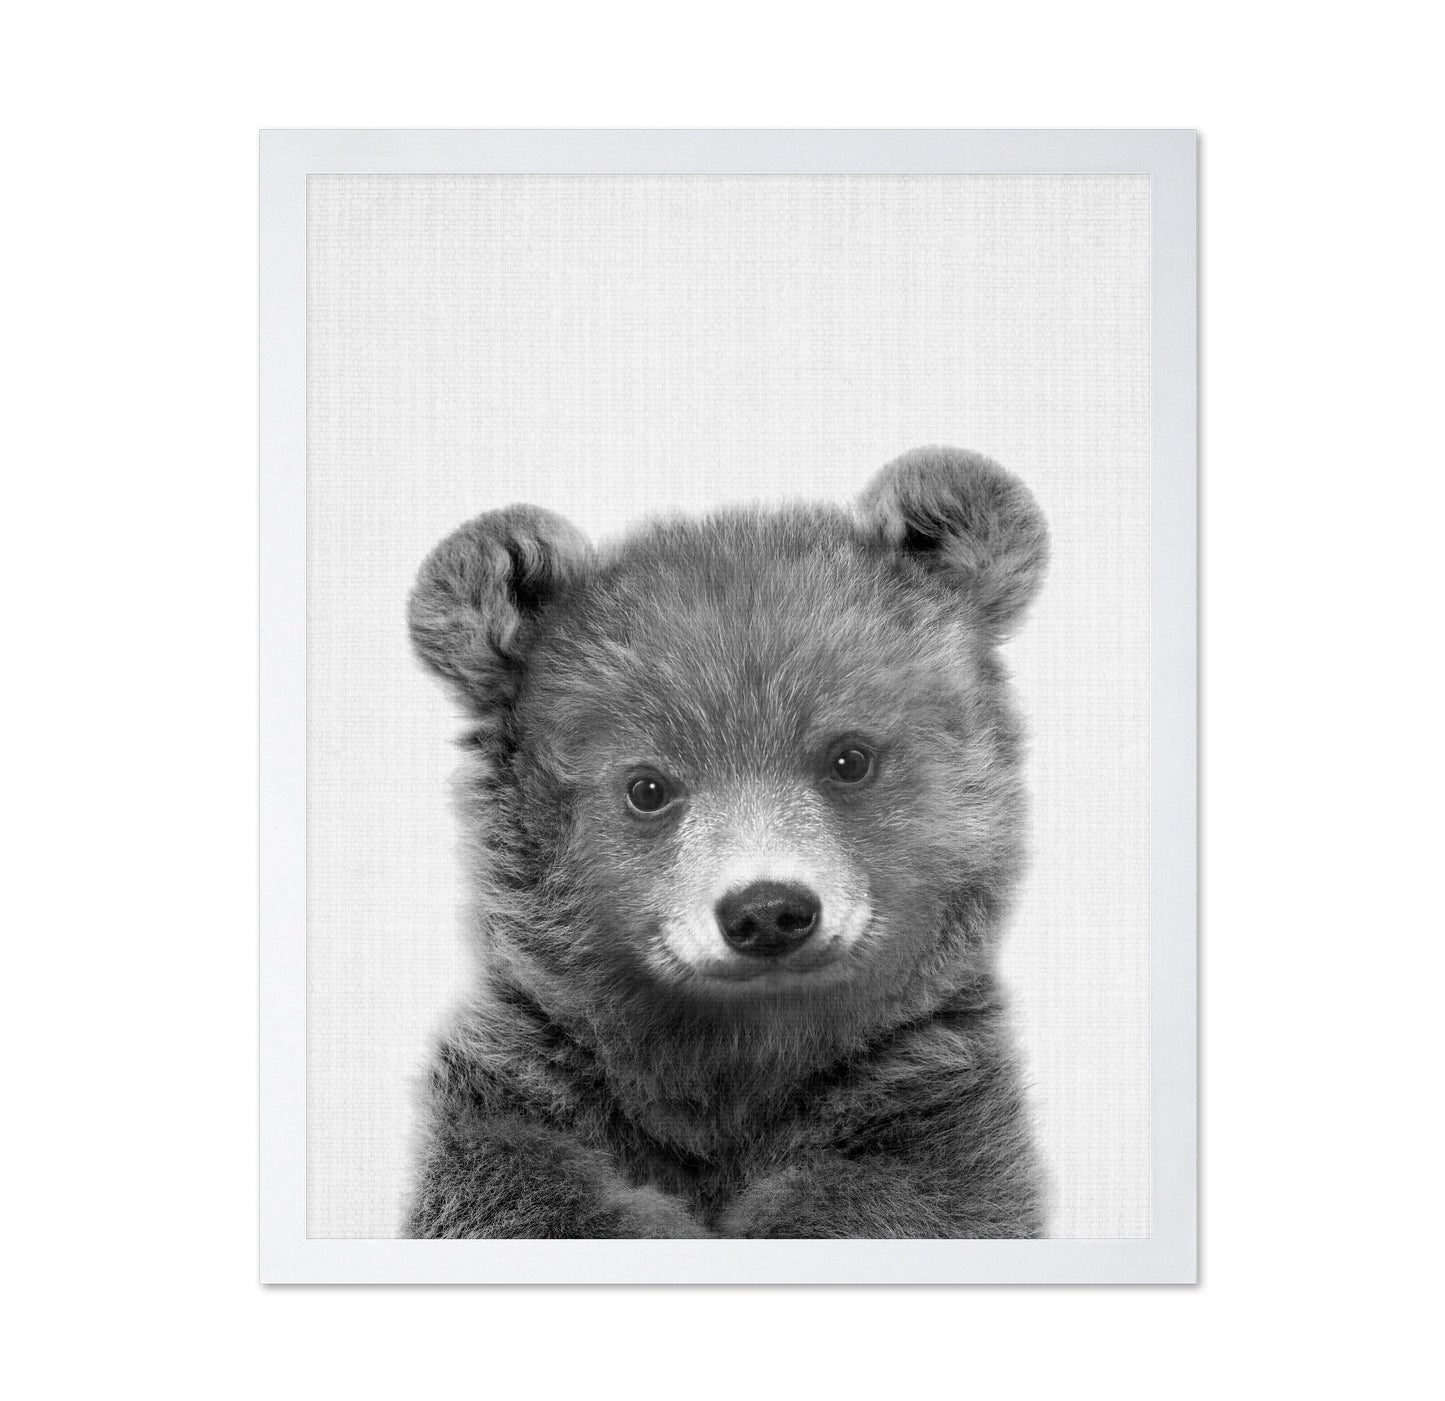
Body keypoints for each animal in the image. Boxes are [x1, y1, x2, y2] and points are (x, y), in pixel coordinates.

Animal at [404, 445, 1049, 1239]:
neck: (736, 1064)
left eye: (849, 757)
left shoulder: (925, 1112)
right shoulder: (528, 1098)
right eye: (647, 786)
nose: (767, 911)